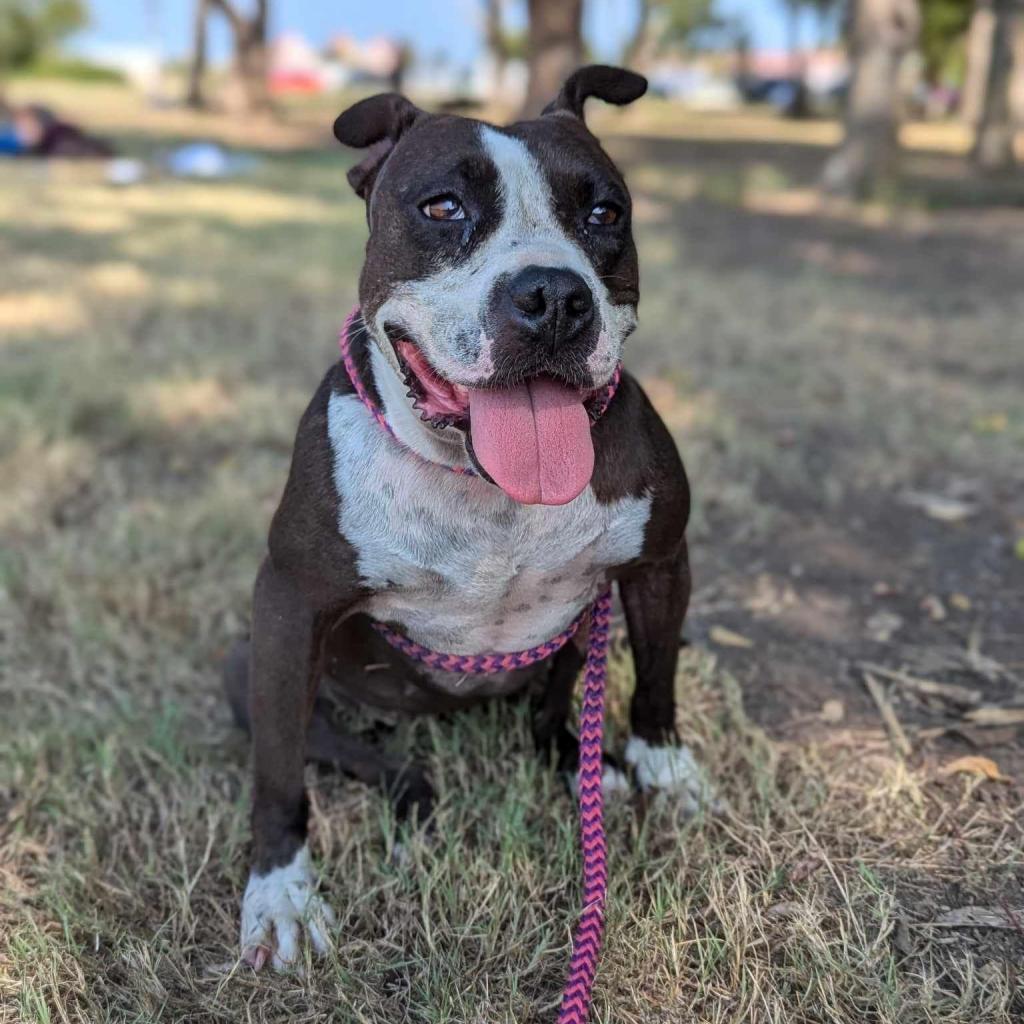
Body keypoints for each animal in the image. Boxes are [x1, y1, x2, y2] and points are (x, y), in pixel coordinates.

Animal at [220, 64, 708, 966]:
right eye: (442, 207)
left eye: (604, 213)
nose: (553, 294)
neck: (486, 486)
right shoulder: (289, 604)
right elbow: (277, 778)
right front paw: (280, 894)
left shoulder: (662, 562)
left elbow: (658, 678)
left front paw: (666, 769)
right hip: (251, 662)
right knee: (368, 761)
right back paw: (412, 800)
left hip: (577, 639)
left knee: (552, 714)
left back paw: (591, 770)